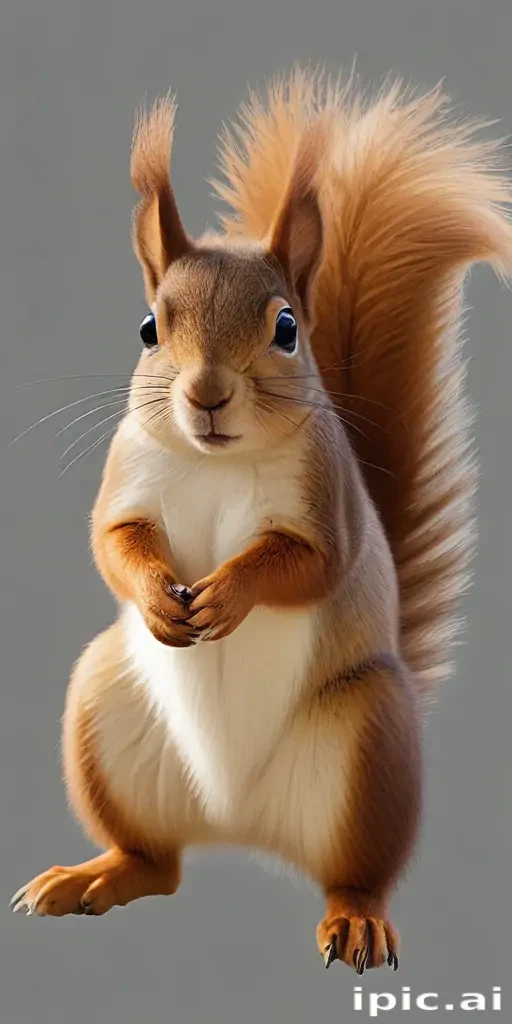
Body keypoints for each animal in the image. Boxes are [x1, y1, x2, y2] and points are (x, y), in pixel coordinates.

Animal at [11, 71, 512, 973]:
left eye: (286, 328)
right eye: (149, 326)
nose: (207, 394)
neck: (215, 461)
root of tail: (236, 820)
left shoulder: (326, 503)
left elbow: (303, 563)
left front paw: (227, 593)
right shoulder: (128, 482)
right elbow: (112, 544)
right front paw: (159, 596)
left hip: (368, 743)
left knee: (357, 872)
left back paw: (356, 920)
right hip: (102, 711)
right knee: (157, 864)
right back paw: (91, 877)